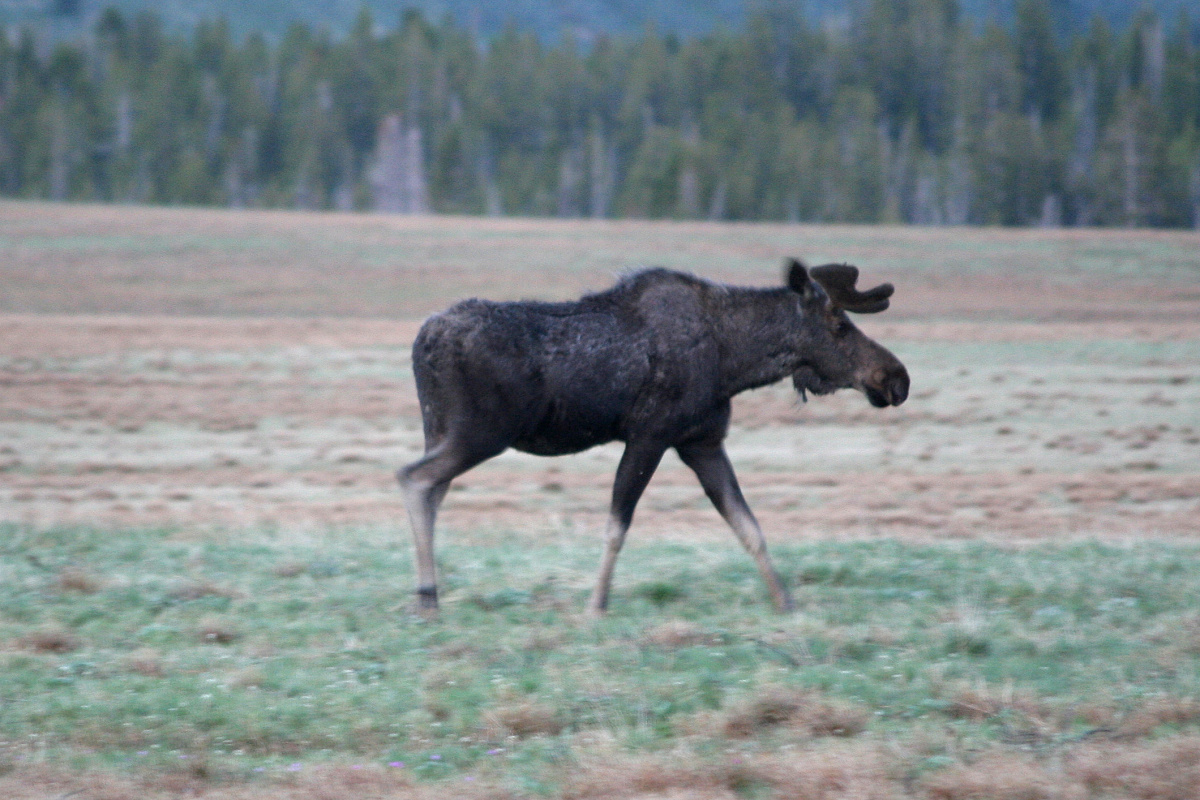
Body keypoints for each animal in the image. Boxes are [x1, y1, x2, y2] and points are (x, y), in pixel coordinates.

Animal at [398, 260, 902, 618]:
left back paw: (428, 594)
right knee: (414, 479)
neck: (733, 363)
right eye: (839, 325)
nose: (897, 377)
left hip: (439, 427)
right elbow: (617, 526)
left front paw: (786, 603)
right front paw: (596, 605)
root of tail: (422, 340)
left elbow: (749, 527)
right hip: (481, 432)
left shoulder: (702, 442)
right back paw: (427, 596)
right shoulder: (650, 434)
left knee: (433, 490)